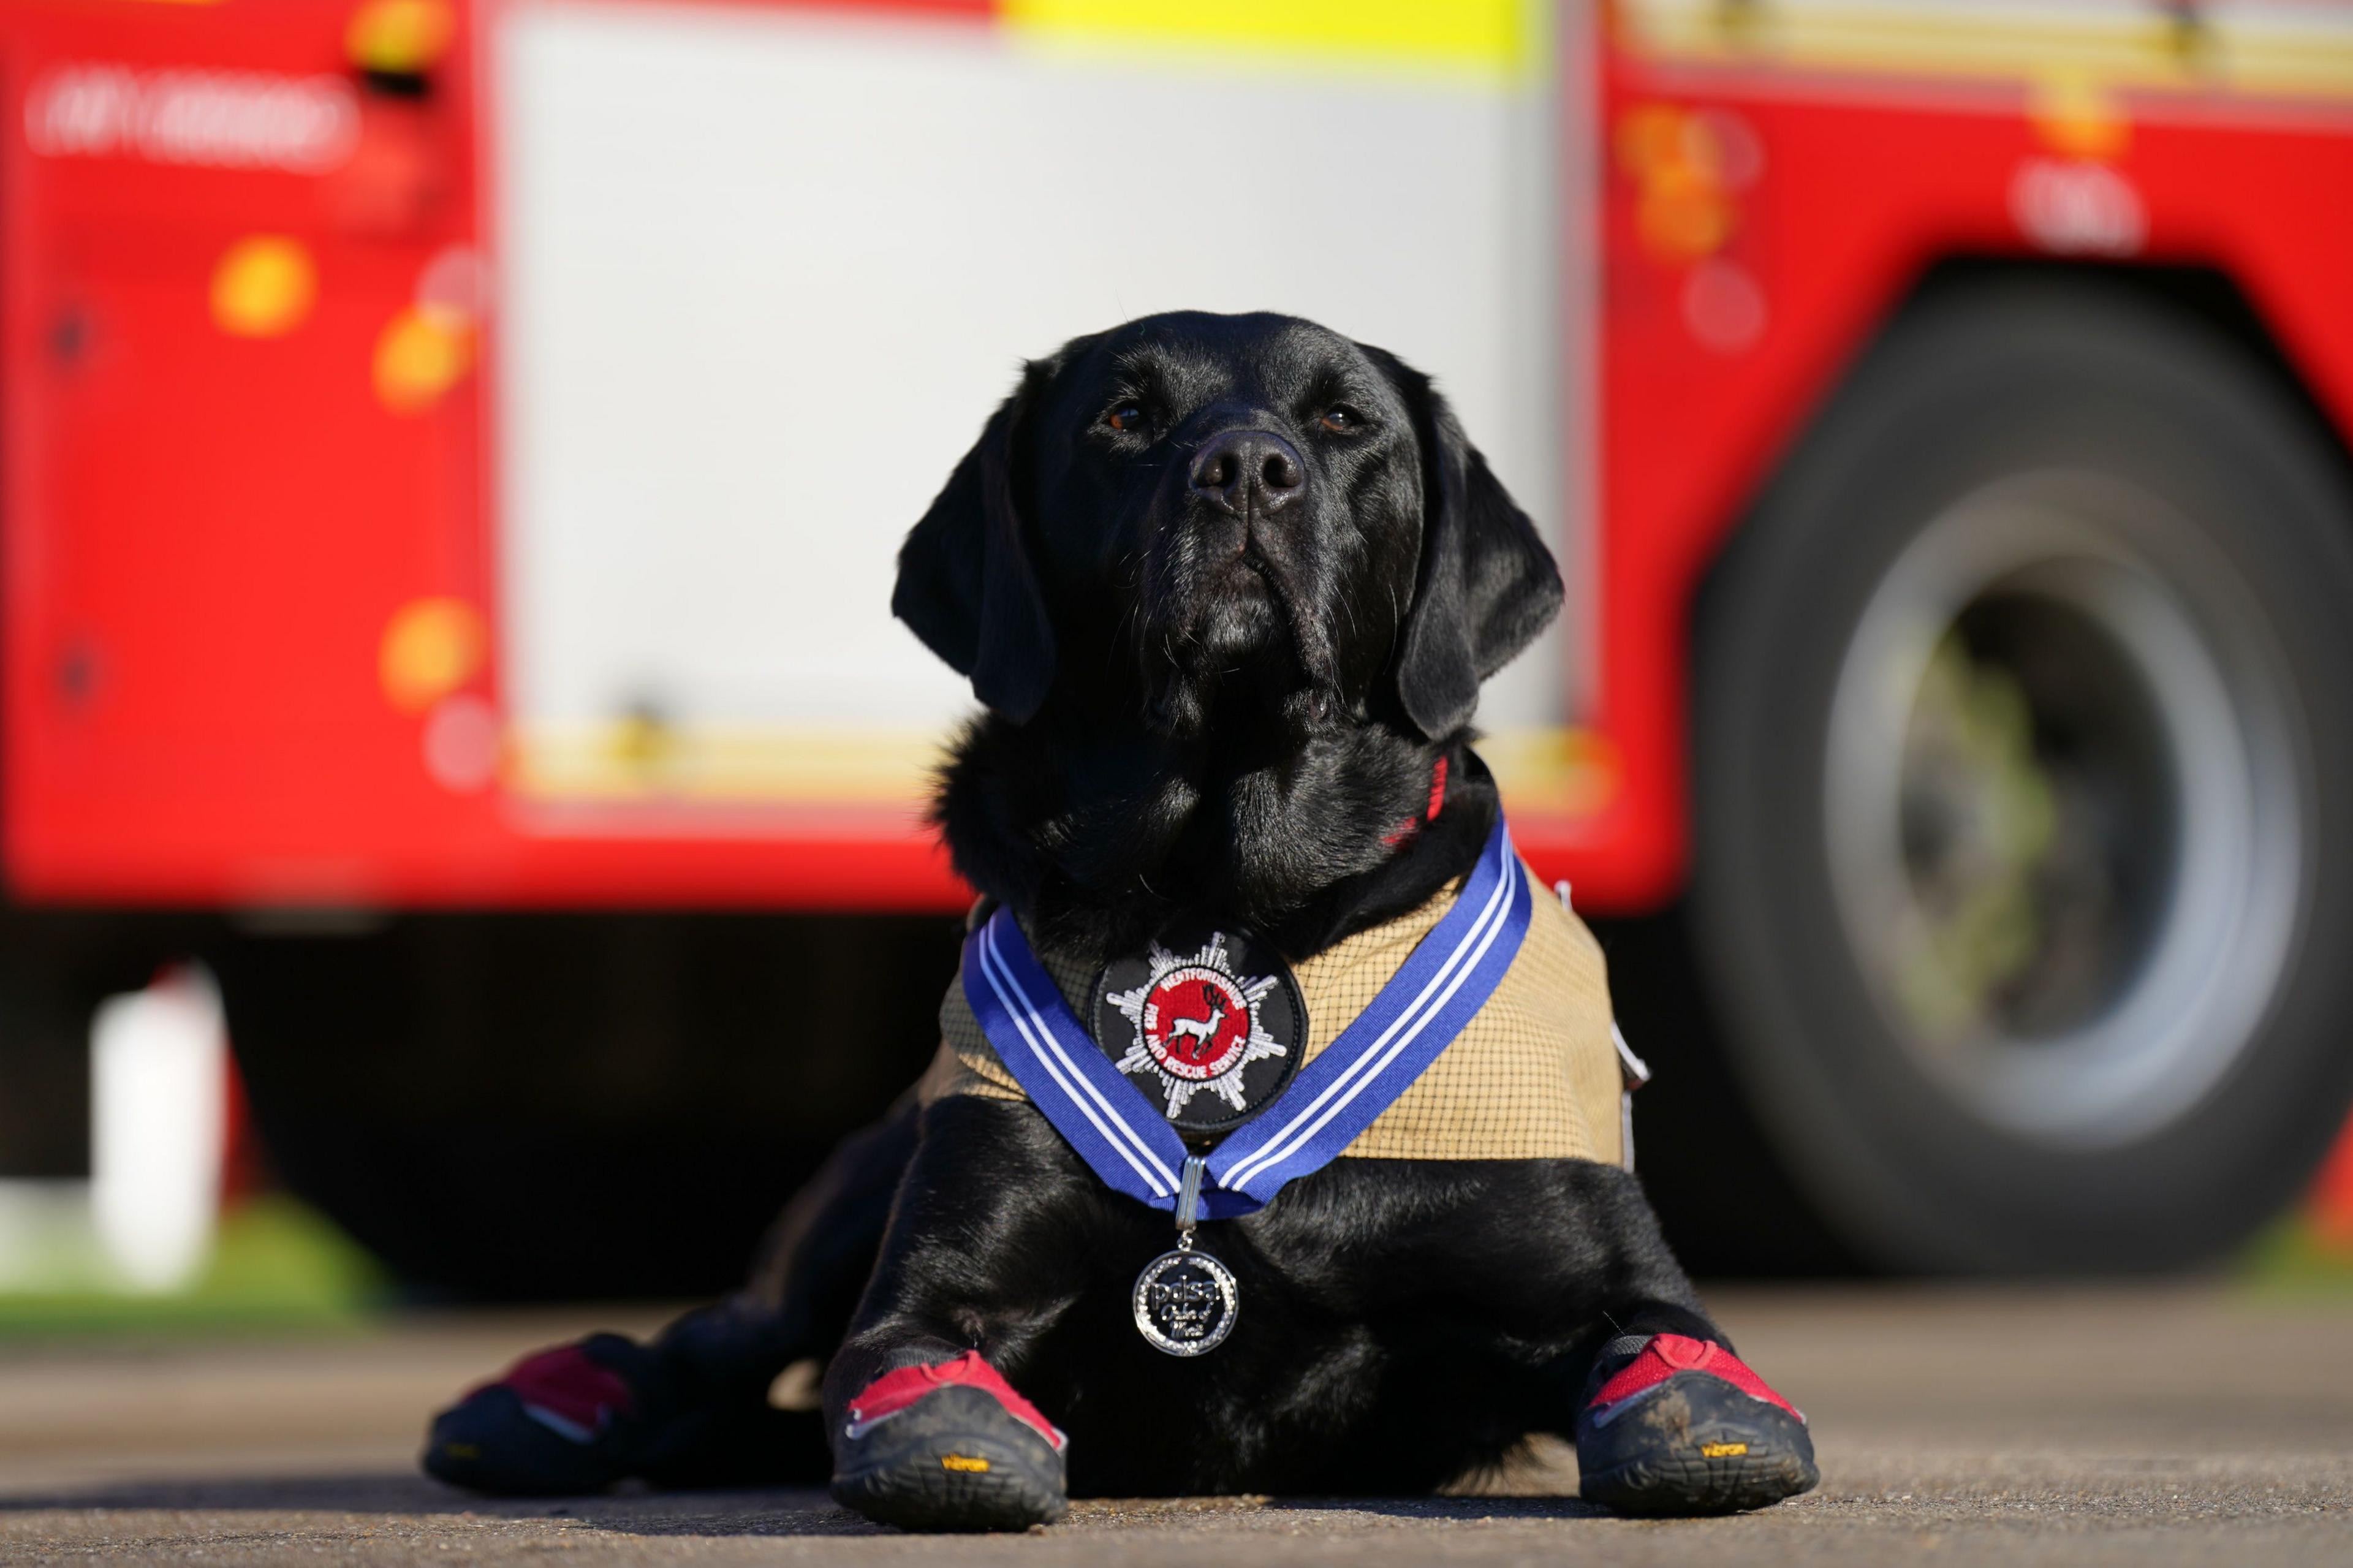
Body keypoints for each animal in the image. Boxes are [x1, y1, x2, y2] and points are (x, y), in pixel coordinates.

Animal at [428, 311, 1816, 1516]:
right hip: (861, 1180)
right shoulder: (936, 1284)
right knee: (724, 1336)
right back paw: (547, 1406)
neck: (1228, 890)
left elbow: (1676, 1362)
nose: (1247, 468)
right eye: (1125, 415)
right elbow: (912, 1375)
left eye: (1345, 420)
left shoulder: (1606, 1273)